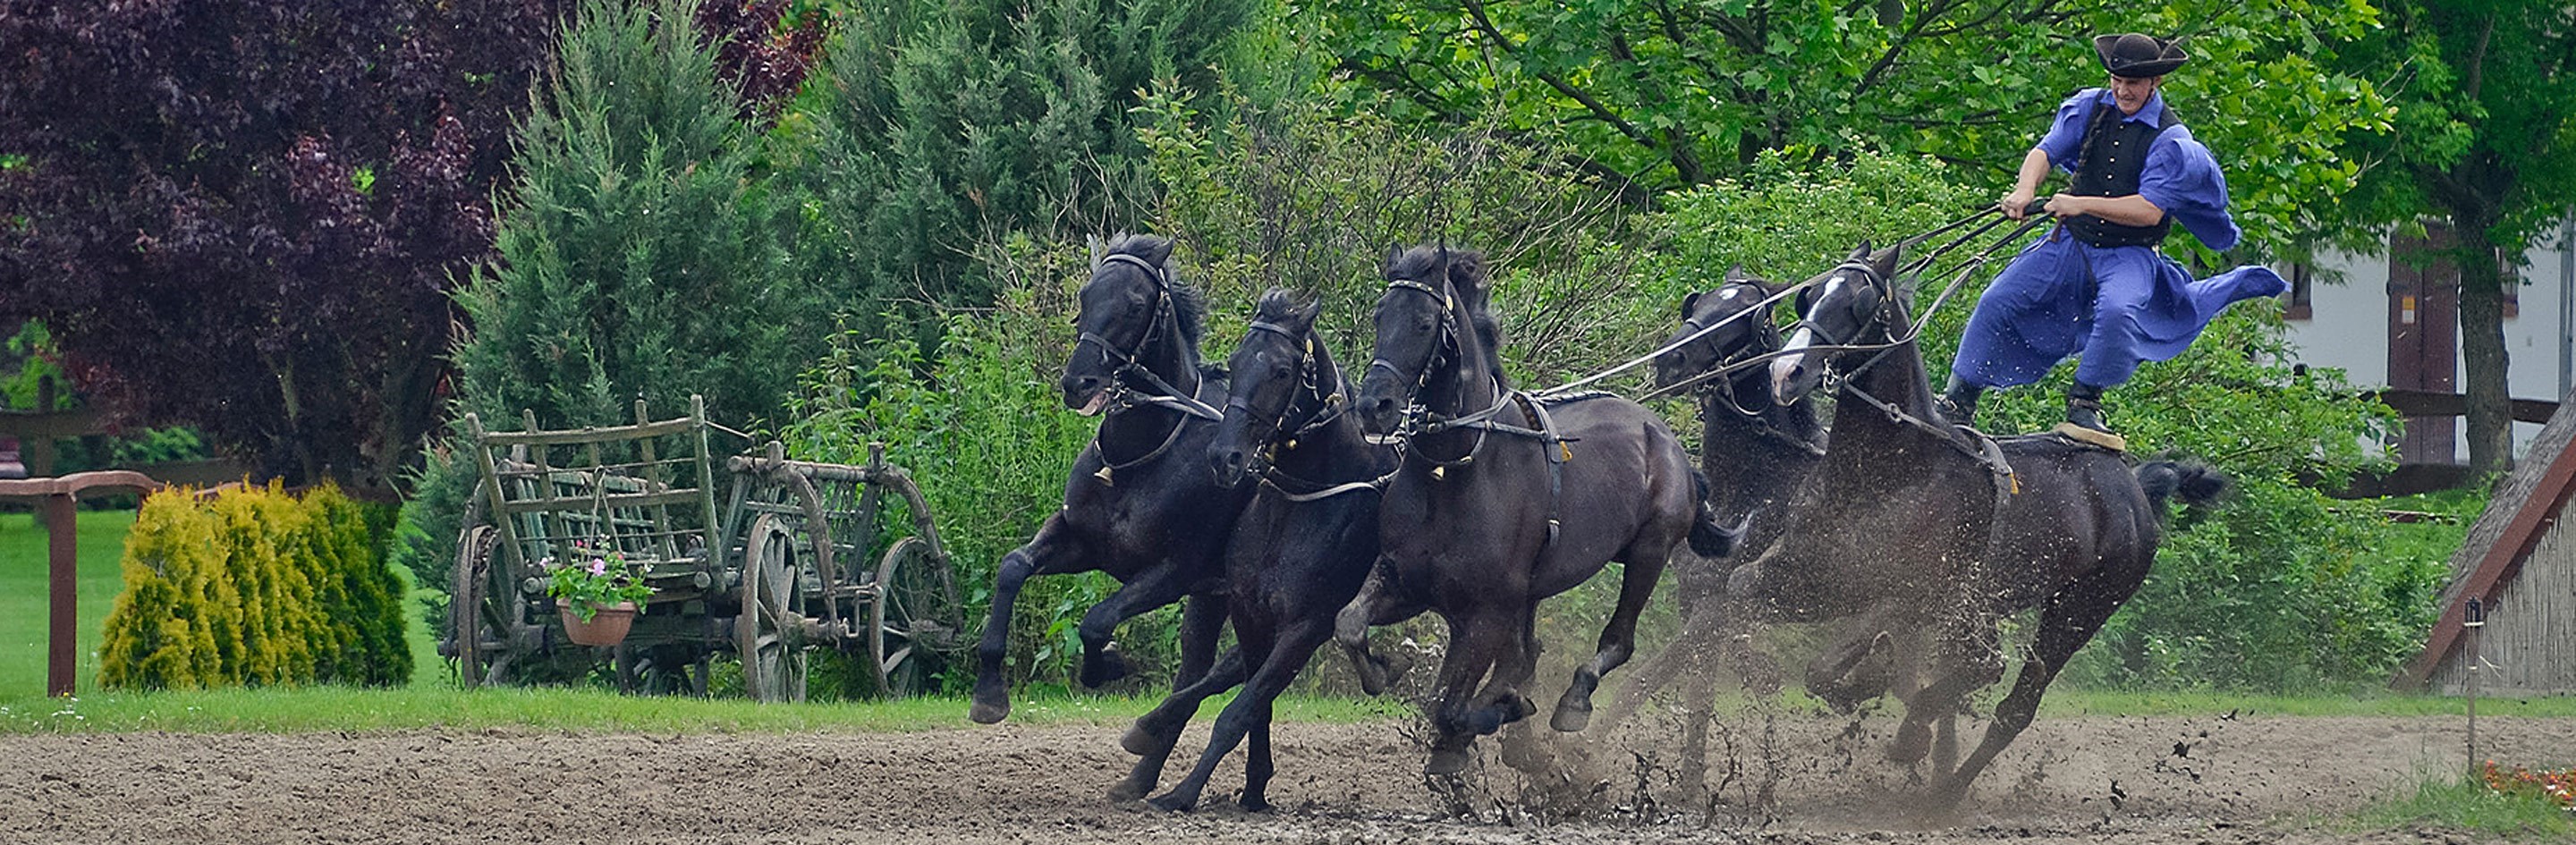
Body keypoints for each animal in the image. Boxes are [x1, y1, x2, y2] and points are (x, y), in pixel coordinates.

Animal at [968, 234, 1246, 721]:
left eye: (1135, 305)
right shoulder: (1082, 542)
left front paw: (1109, 663)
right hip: (1212, 598)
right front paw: (988, 689)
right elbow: (1013, 567)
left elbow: (1096, 623)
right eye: (1085, 296)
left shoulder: (1174, 571)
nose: (1078, 383)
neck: (1134, 462)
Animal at [1102, 291, 1401, 814]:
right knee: (1217, 670)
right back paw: (1148, 734)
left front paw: (1183, 792)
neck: (1300, 503)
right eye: (1237, 361)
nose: (1225, 457)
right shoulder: (1249, 612)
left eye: (1282, 370)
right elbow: (1253, 701)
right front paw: (1253, 785)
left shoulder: (1306, 628)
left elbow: (1240, 710)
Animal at [1329, 241, 1731, 773]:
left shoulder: (1487, 612)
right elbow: (1350, 624)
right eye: (1379, 315)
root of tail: (1664, 436)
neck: (1452, 472)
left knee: (1617, 642)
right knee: (1524, 655)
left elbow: (1451, 704)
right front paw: (1388, 668)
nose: (1374, 405)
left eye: (1422, 322)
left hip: (1650, 552)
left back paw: (1572, 701)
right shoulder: (1406, 580)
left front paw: (1489, 719)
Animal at [1741, 241, 2225, 803]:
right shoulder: (1806, 573)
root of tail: (2133, 487)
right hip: (1983, 608)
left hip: (2079, 610)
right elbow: (1745, 599)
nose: (1785, 373)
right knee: (1978, 665)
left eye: (1859, 304)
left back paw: (1941, 787)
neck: (1885, 474)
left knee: (2014, 703)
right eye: (1810, 295)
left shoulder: (1912, 594)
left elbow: (1828, 667)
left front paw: (1883, 697)